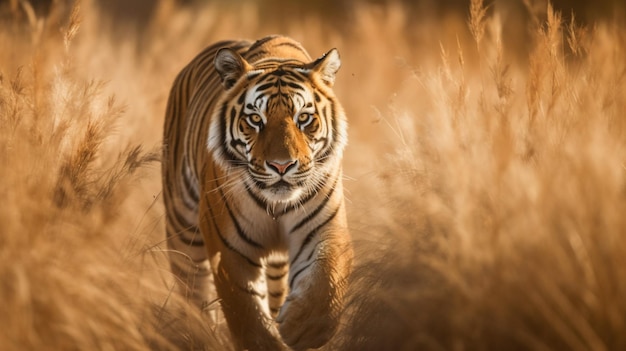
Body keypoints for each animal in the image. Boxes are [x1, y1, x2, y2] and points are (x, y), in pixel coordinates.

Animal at [161, 35, 354, 351]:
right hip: (182, 230)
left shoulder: (325, 229)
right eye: (255, 119)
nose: (281, 165)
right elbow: (246, 313)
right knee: (193, 294)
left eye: (303, 118)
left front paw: (302, 330)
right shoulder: (229, 245)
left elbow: (326, 283)